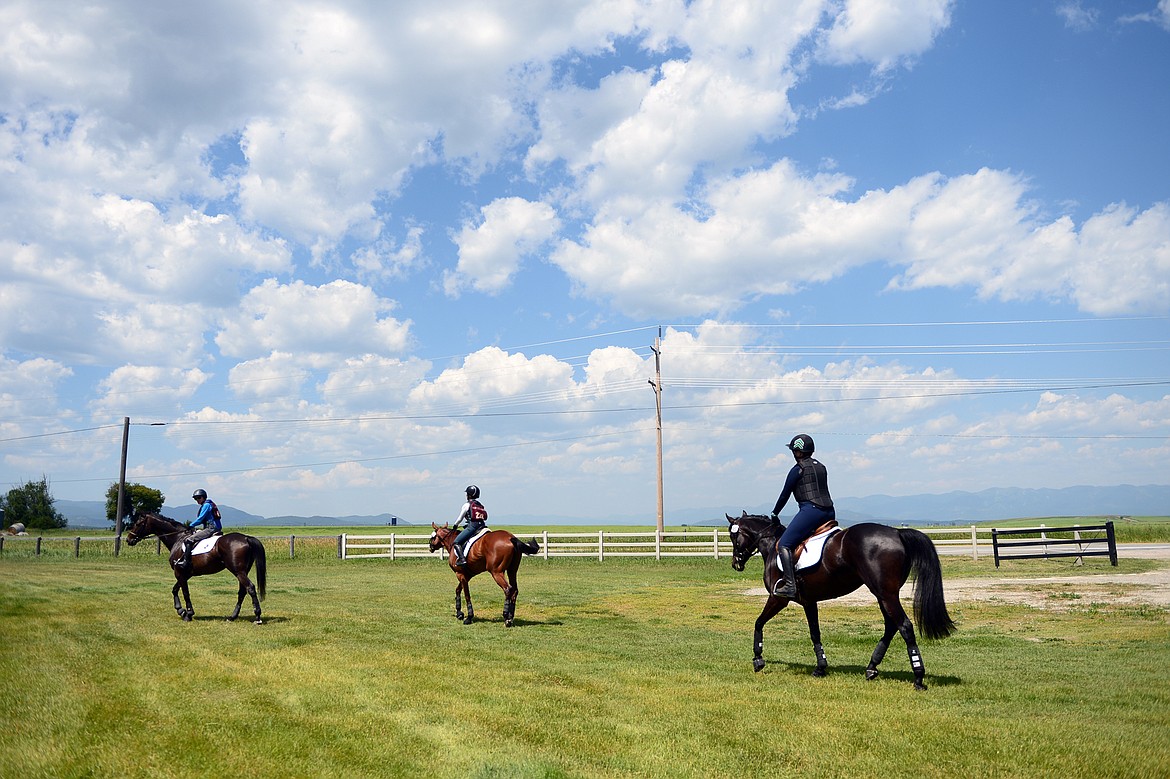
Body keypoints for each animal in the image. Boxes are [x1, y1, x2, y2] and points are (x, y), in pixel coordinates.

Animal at [126, 507, 267, 622]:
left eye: (137, 524)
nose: (128, 539)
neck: (177, 539)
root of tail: (246, 538)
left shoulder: (179, 573)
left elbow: (185, 593)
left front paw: (188, 613)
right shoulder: (185, 574)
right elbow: (175, 589)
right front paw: (181, 610)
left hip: (239, 572)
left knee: (250, 588)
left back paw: (257, 617)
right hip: (242, 572)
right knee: (242, 591)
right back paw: (232, 617)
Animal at [725, 512, 954, 687]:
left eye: (733, 537)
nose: (736, 563)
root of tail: (897, 532)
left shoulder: (778, 599)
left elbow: (758, 622)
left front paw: (758, 659)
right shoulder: (809, 601)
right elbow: (815, 633)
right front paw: (820, 667)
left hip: (886, 594)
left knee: (904, 626)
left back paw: (918, 677)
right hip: (883, 595)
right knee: (891, 626)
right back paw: (871, 668)